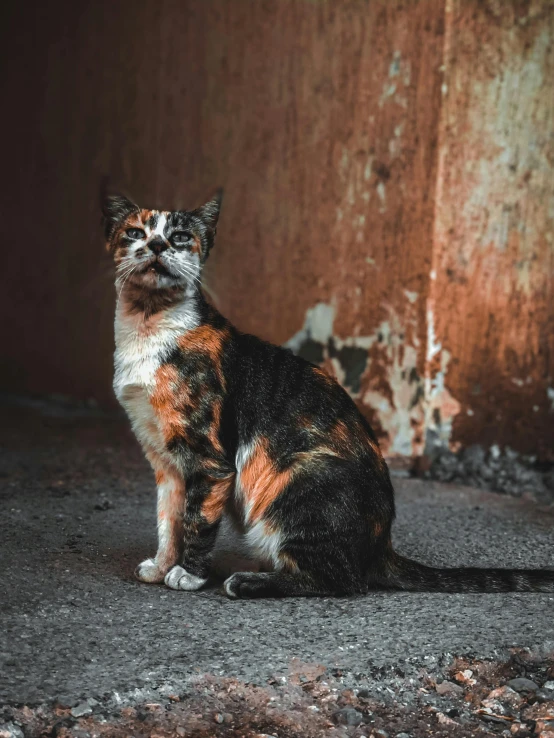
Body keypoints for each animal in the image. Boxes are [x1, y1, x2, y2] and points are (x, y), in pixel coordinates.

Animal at [101, 191, 548, 600]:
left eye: (179, 236)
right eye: (135, 233)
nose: (158, 245)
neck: (148, 324)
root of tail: (381, 545)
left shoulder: (209, 460)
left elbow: (196, 520)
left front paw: (189, 574)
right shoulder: (165, 460)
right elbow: (168, 519)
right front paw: (162, 565)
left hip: (300, 476)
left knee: (342, 581)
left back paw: (247, 581)